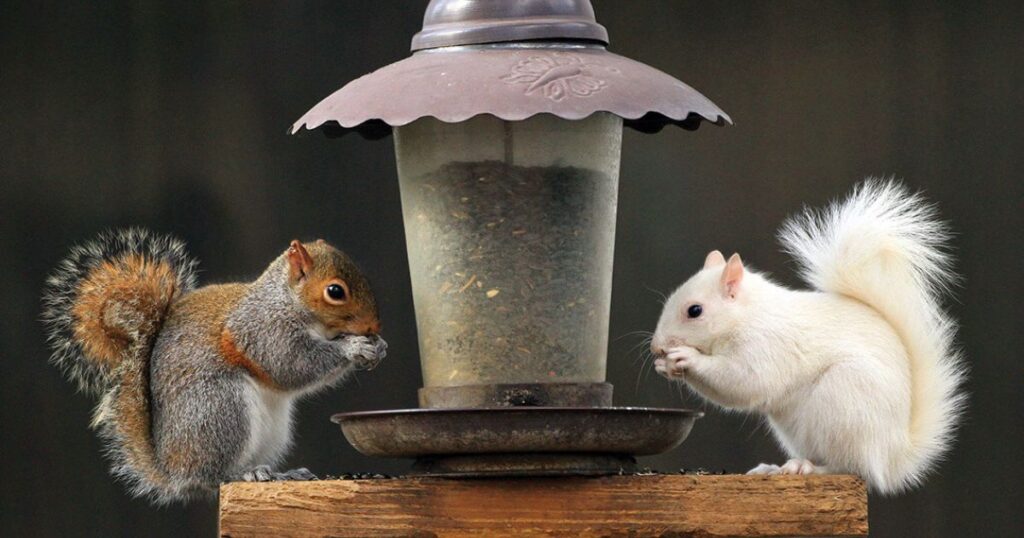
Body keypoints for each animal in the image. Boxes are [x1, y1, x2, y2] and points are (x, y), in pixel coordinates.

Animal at [42, 229, 387, 504]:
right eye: (335, 291)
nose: (373, 326)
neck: (287, 301)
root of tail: (172, 471)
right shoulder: (261, 331)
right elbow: (290, 364)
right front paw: (354, 347)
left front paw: (379, 345)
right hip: (220, 409)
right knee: (214, 476)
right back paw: (247, 474)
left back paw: (281, 473)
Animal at [650, 180, 965, 494]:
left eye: (694, 311)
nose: (655, 348)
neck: (747, 315)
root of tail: (893, 456)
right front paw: (664, 365)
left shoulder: (766, 346)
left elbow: (743, 381)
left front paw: (686, 358)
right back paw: (777, 468)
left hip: (845, 400)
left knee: (852, 467)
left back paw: (810, 468)